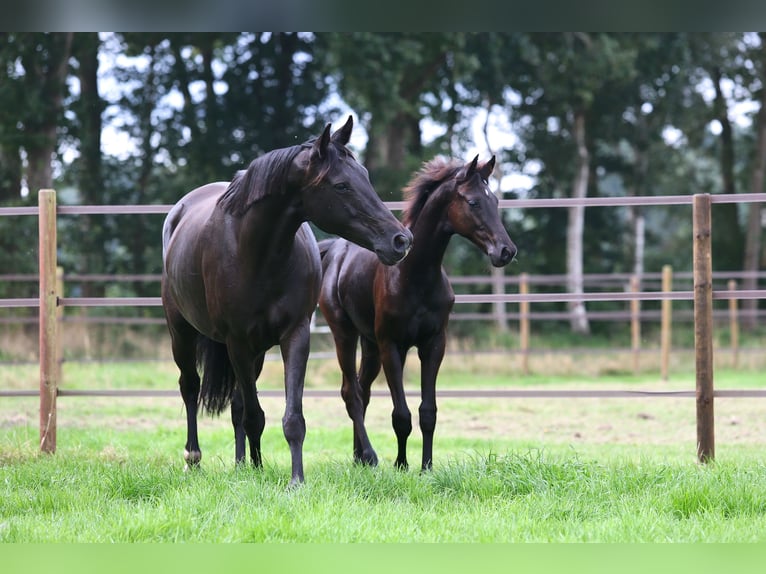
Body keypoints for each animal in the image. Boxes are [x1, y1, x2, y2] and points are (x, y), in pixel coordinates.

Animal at [162, 117, 414, 486]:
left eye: (365, 176)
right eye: (341, 186)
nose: (400, 240)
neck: (257, 254)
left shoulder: (294, 335)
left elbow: (289, 417)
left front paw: (293, 479)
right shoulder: (237, 341)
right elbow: (254, 415)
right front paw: (266, 473)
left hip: (254, 352)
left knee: (237, 404)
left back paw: (243, 464)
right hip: (182, 332)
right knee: (191, 387)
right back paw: (193, 458)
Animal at [318, 154, 516, 472]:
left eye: (495, 200)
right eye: (473, 202)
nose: (506, 251)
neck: (415, 275)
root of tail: (335, 251)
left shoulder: (433, 344)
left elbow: (428, 412)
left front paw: (426, 467)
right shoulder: (392, 346)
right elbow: (401, 415)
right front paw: (401, 465)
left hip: (370, 345)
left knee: (363, 390)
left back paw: (359, 457)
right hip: (344, 334)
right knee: (351, 392)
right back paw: (368, 456)